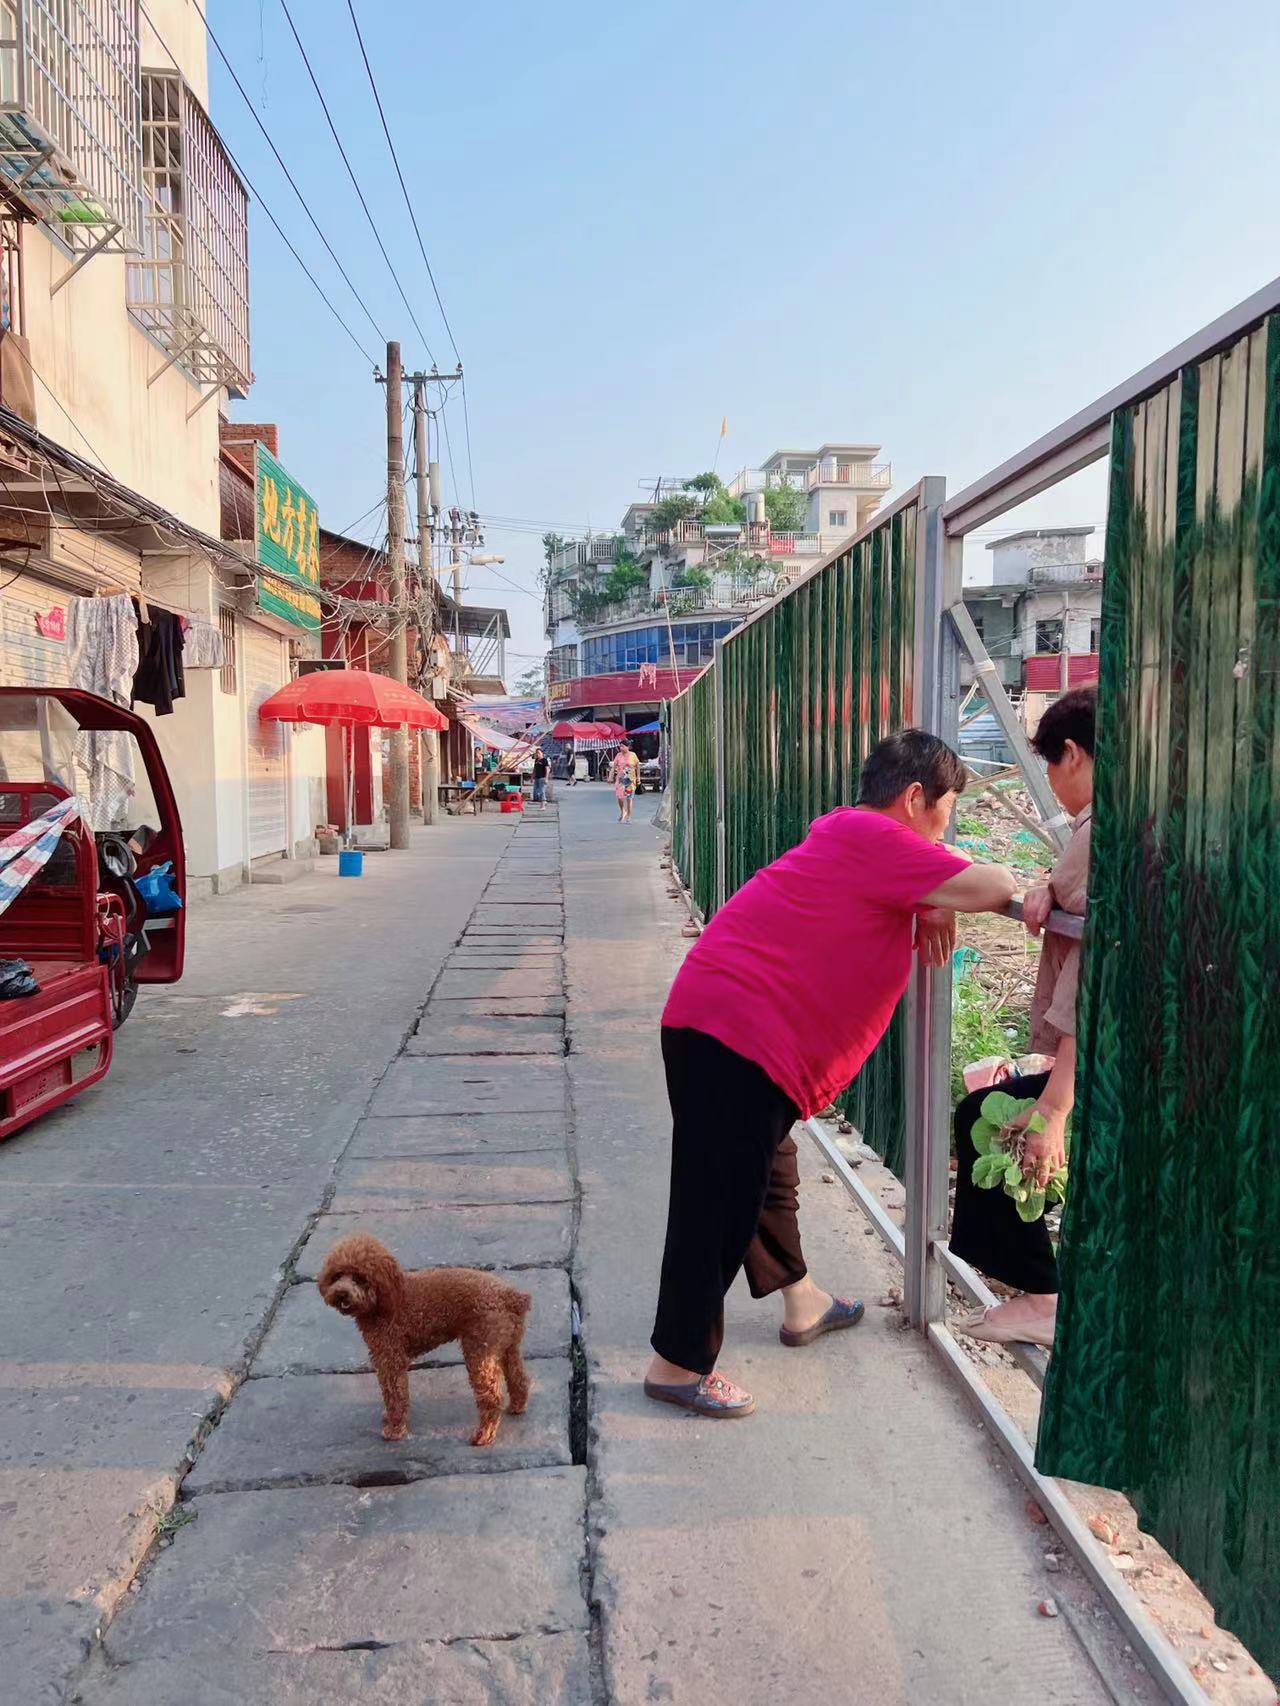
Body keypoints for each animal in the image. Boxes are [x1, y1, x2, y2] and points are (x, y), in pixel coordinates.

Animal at [319, 1235, 532, 1446]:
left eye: (359, 1278)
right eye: (337, 1275)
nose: (341, 1293)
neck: (383, 1302)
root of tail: (510, 1297)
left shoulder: (390, 1359)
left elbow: (395, 1396)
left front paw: (395, 1429)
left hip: (480, 1351)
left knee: (491, 1397)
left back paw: (483, 1434)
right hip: (507, 1347)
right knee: (519, 1378)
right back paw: (517, 1406)